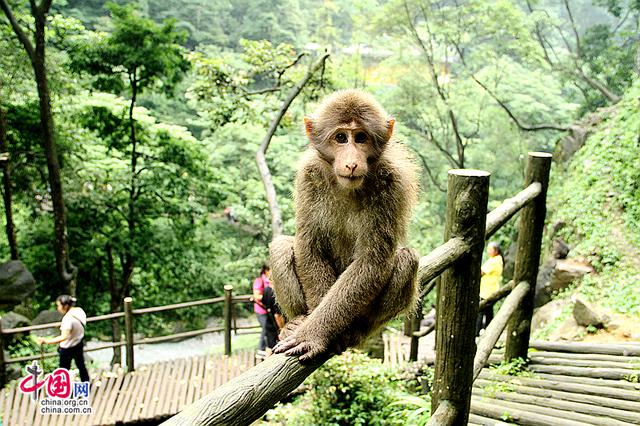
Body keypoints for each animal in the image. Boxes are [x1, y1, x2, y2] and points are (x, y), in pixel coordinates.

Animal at [268, 88, 420, 362]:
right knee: (281, 247)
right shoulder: (309, 175)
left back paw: (355, 331)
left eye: (360, 138)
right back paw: (295, 322)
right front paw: (311, 326)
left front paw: (314, 334)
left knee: (406, 259)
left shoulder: (392, 181)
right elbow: (309, 245)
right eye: (341, 137)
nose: (351, 163)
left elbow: (372, 262)